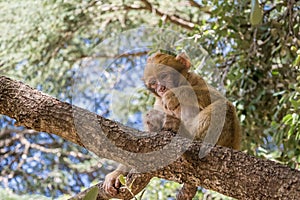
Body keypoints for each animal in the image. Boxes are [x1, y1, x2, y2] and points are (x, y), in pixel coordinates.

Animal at [103, 51, 241, 198]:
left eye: (164, 76)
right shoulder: (158, 102)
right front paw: (117, 174)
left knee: (225, 107)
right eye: (153, 83)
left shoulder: (196, 80)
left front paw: (174, 95)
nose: (161, 88)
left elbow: (218, 99)